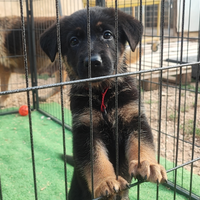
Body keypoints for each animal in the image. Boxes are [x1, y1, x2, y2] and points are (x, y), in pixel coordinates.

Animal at [39, 6, 166, 200]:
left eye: (107, 35)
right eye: (74, 41)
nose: (93, 62)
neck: (103, 94)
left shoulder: (134, 117)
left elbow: (141, 143)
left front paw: (147, 164)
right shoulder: (86, 130)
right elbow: (96, 160)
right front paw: (106, 182)